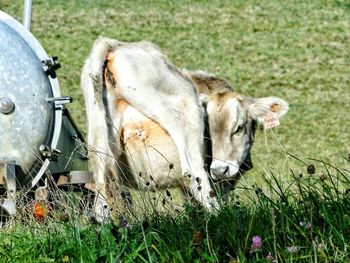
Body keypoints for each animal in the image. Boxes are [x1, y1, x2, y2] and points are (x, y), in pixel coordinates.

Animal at [80, 36, 288, 223]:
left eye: (239, 128)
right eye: (209, 130)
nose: (220, 169)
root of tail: (111, 46)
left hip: (98, 143)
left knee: (101, 199)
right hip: (187, 120)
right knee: (197, 178)